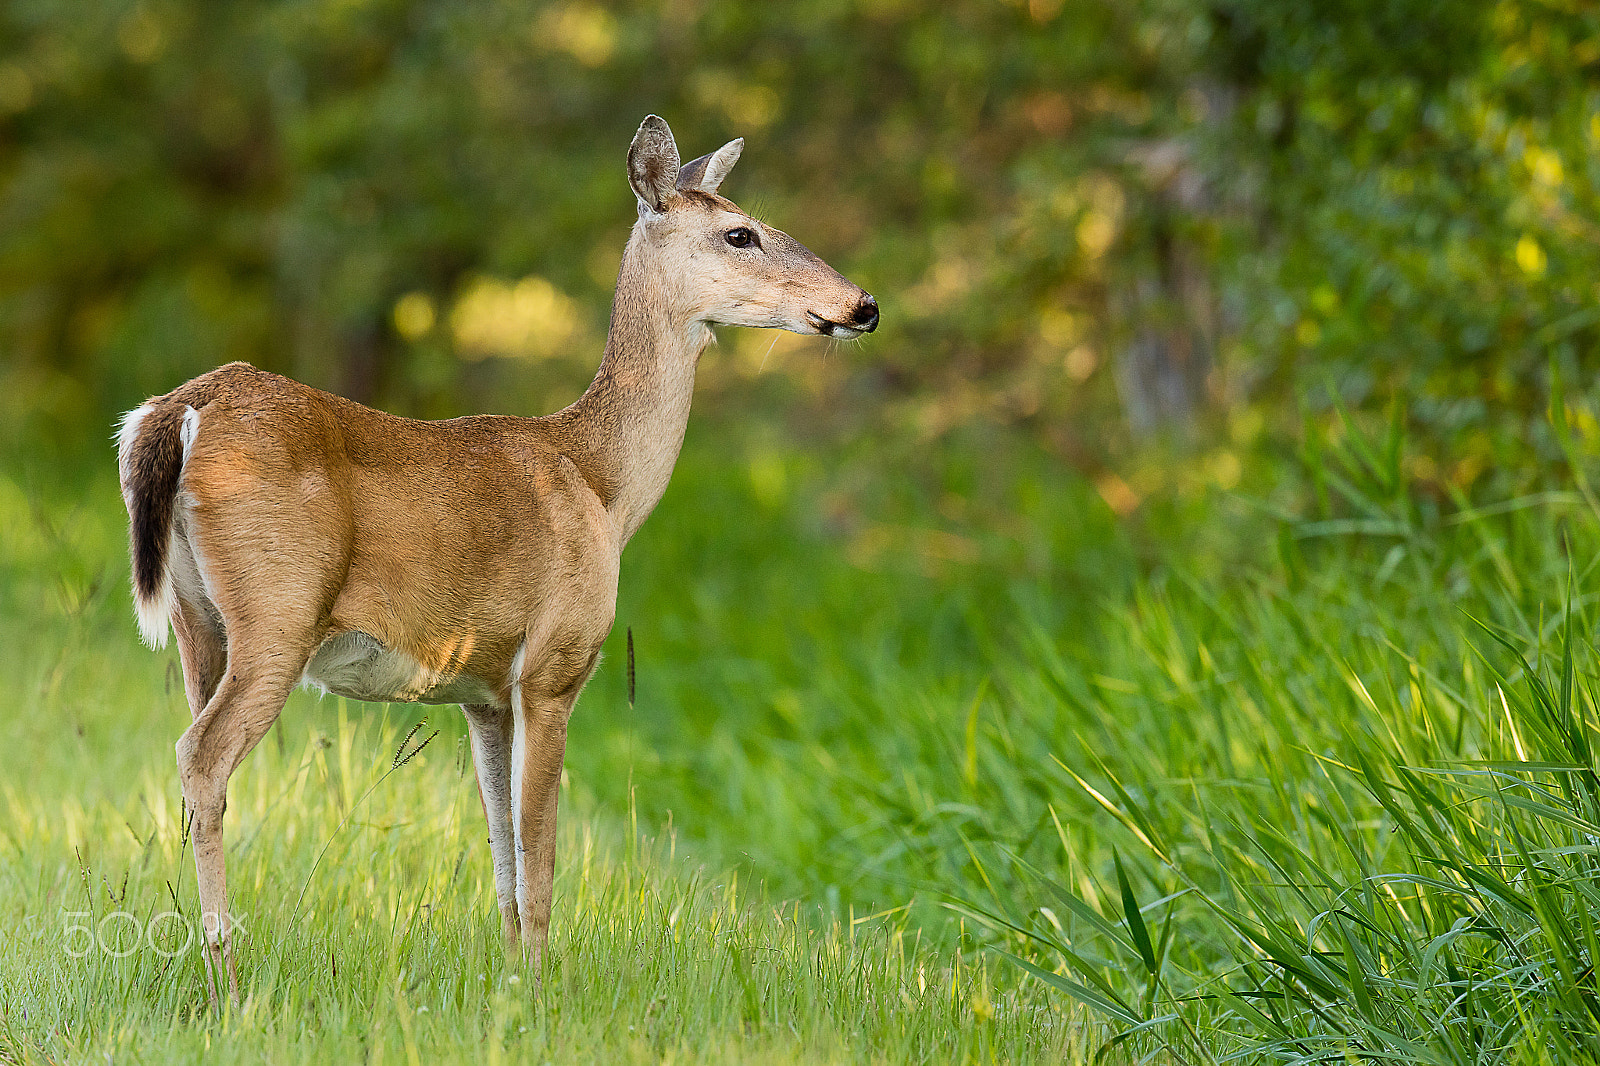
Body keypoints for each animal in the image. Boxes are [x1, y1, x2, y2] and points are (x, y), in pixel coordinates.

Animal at [118, 116, 883, 1005]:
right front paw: (543, 993)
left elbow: (503, 860)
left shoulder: (482, 693)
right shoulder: (553, 666)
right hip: (277, 611)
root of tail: (177, 411)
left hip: (196, 620)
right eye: (741, 232)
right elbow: (541, 857)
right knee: (201, 756)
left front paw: (512, 980)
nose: (863, 306)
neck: (604, 485)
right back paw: (229, 982)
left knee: (192, 755)